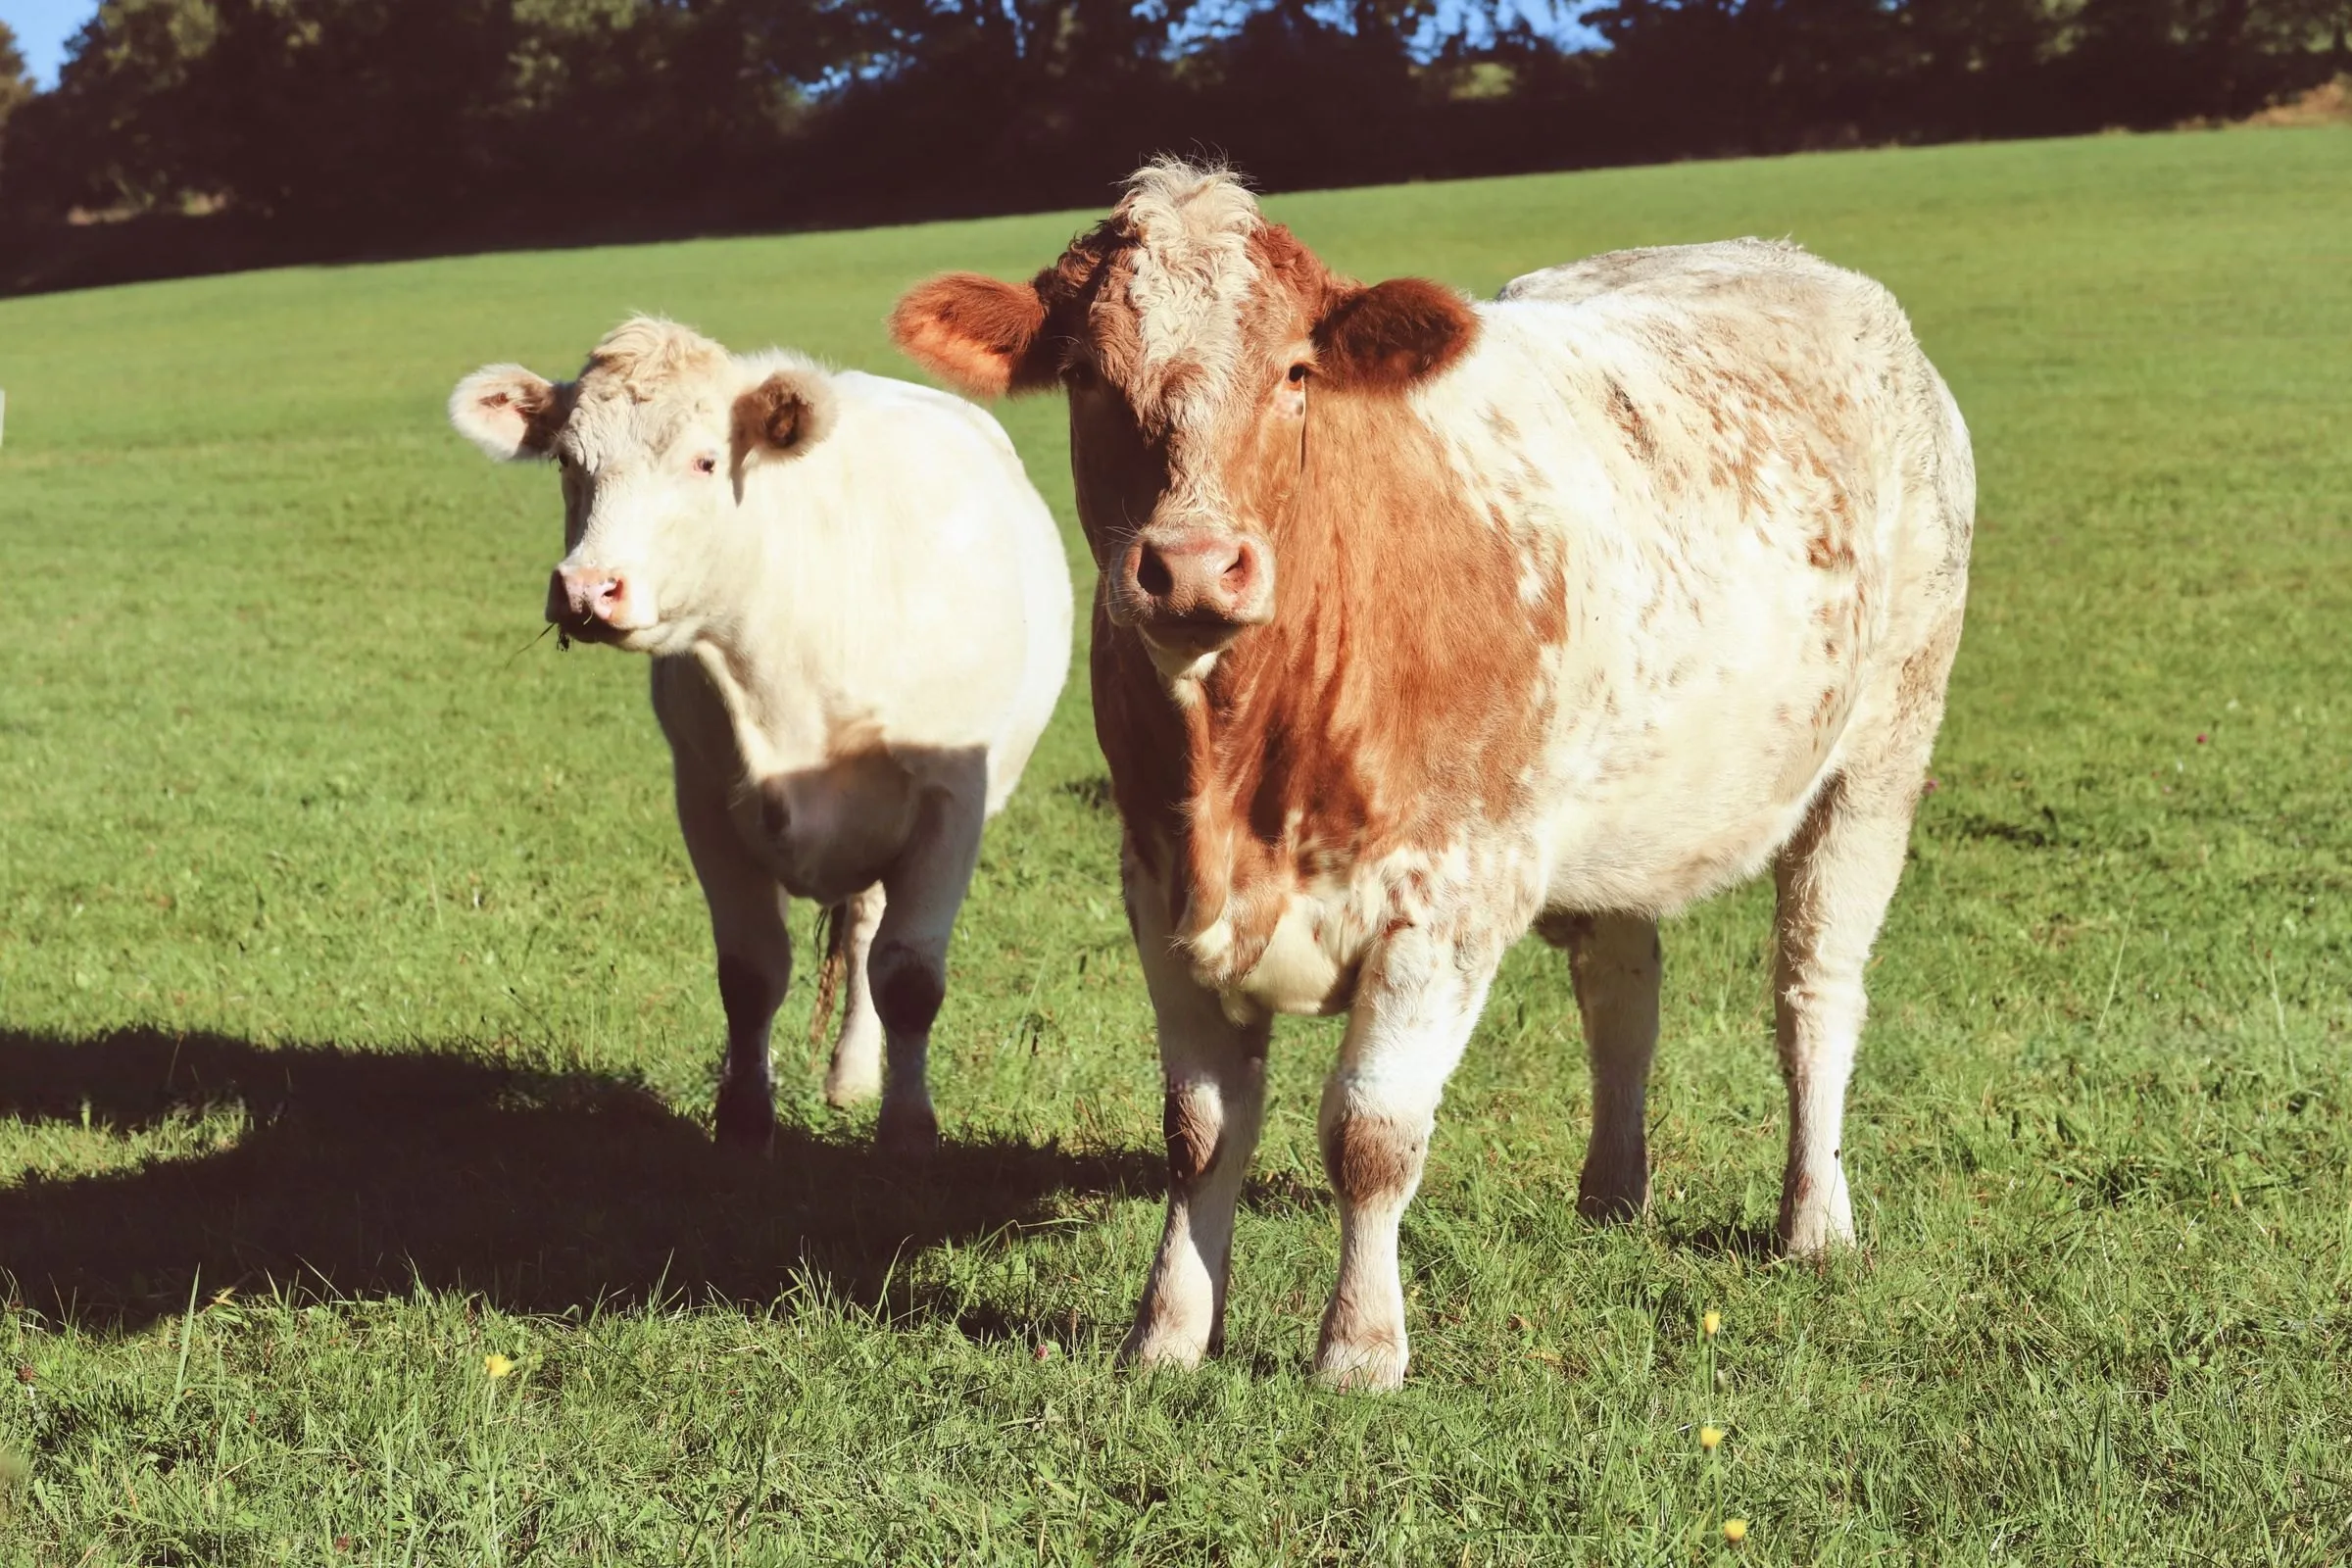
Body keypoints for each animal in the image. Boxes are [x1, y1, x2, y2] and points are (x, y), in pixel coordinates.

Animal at [450, 318, 1073, 1155]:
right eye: (567, 460)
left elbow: (910, 976)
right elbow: (749, 973)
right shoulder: (706, 798)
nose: (587, 589)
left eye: (706, 460)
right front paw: (744, 1120)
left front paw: (908, 1129)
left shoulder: (951, 801)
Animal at [890, 161, 1973, 1389]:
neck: (1246, 766)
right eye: (1081, 372)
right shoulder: (1157, 885)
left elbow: (1371, 1134)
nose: (1192, 567)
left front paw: (1359, 1348)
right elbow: (1200, 1130)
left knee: (1815, 992)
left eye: (1297, 371)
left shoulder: (1450, 896)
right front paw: (1165, 1330)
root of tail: (1776, 257)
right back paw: (1613, 1192)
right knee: (1623, 993)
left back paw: (1815, 1219)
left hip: (1881, 755)